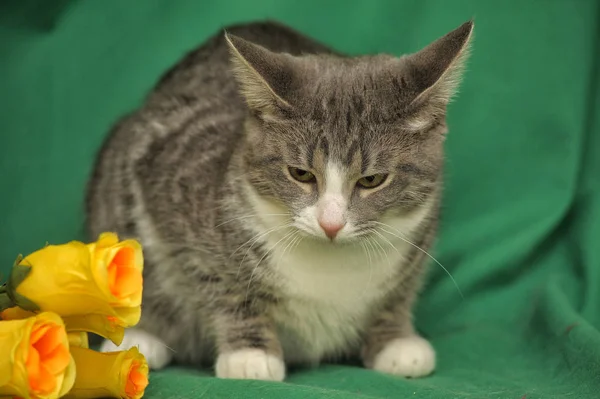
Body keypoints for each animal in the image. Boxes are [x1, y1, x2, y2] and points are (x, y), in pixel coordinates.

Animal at [85, 19, 474, 382]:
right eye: (300, 173)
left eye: (372, 180)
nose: (330, 223)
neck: (331, 268)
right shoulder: (174, 183)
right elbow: (220, 282)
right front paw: (250, 354)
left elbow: (399, 293)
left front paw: (395, 340)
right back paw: (141, 338)